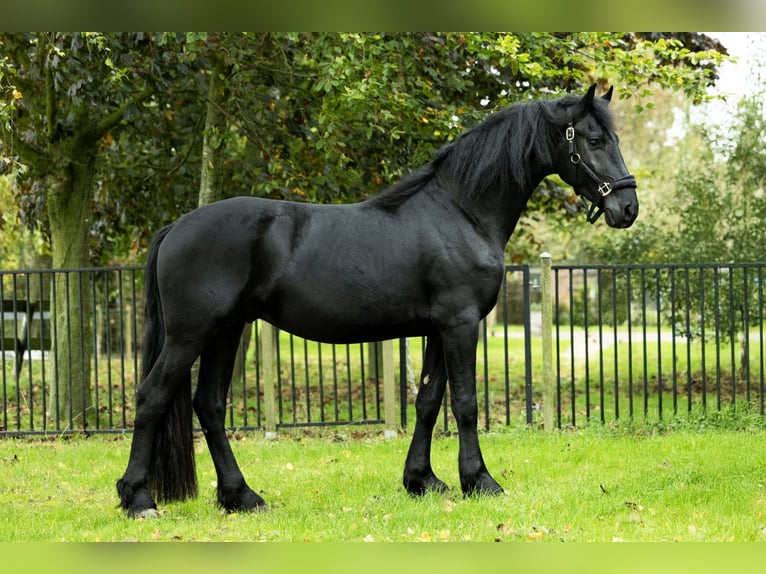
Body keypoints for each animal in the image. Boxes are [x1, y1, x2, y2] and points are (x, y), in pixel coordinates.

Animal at [117, 83, 640, 520]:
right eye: (594, 139)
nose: (628, 207)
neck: (461, 210)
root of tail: (177, 226)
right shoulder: (461, 323)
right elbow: (465, 403)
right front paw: (480, 481)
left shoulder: (437, 329)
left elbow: (429, 400)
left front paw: (422, 480)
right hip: (191, 334)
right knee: (152, 396)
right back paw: (139, 499)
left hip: (226, 331)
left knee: (208, 405)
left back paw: (240, 496)